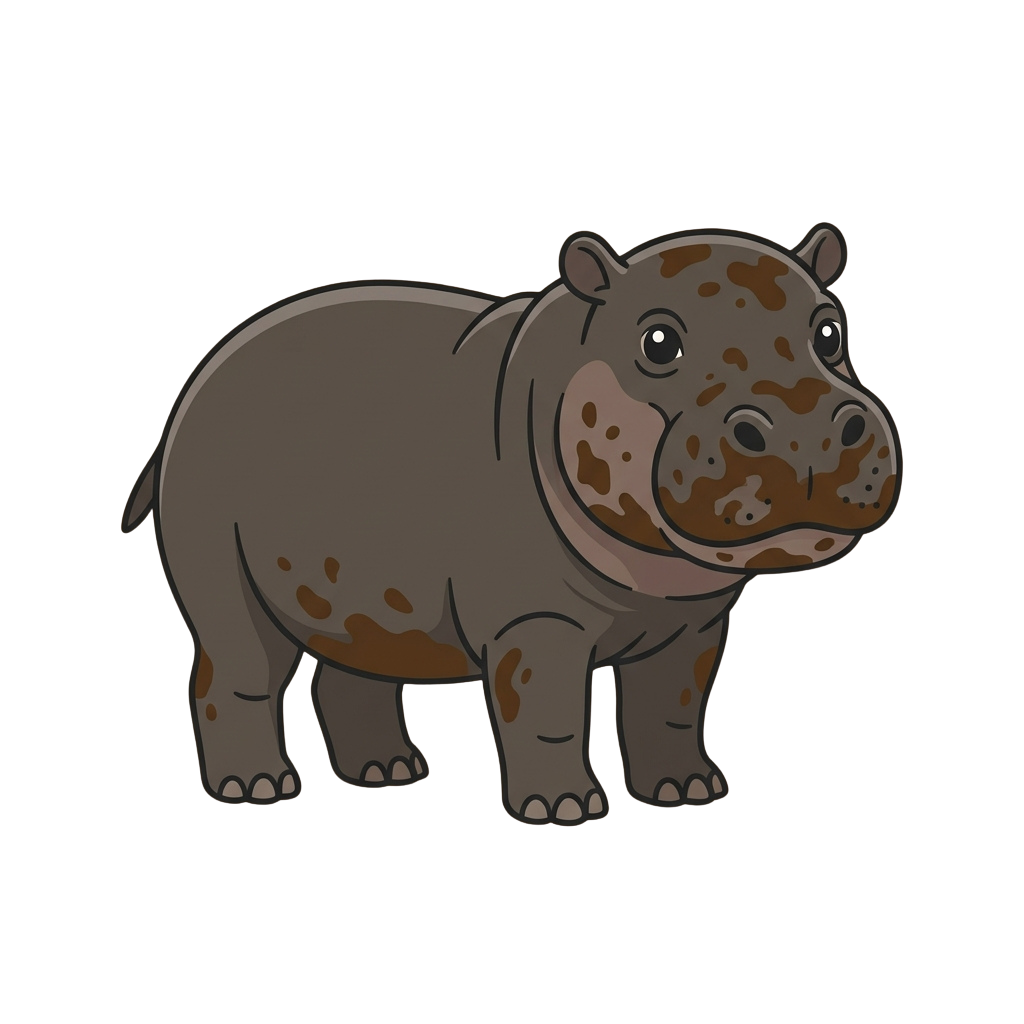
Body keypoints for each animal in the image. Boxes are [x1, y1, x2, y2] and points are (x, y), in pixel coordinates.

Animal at [121, 225, 900, 824]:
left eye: (831, 330)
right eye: (658, 342)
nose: (805, 430)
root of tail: (192, 387)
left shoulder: (697, 624)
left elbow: (673, 705)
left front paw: (688, 791)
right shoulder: (536, 620)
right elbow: (548, 712)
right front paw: (563, 810)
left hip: (358, 591)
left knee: (355, 661)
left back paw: (388, 771)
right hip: (215, 552)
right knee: (238, 665)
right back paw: (256, 789)